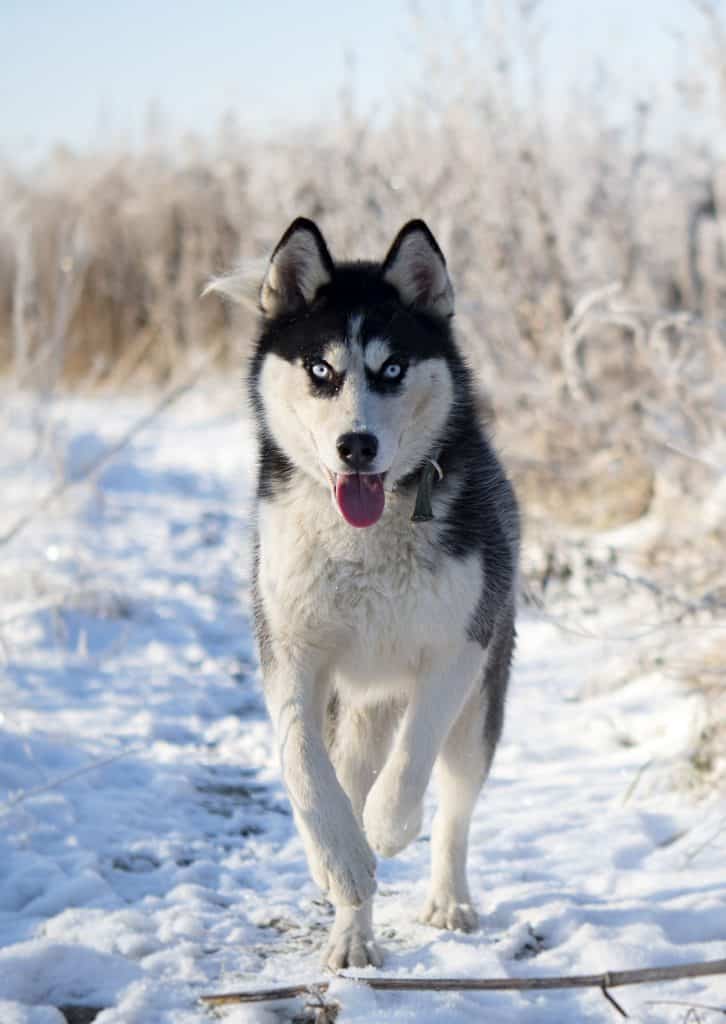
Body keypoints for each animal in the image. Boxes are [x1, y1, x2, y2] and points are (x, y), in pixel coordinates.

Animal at [207, 216, 516, 966]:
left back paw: (448, 899)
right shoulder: (290, 652)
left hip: (482, 704)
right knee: (346, 776)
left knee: (456, 801)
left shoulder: (460, 646)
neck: (367, 540)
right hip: (353, 713)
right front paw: (342, 860)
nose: (357, 446)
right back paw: (352, 932)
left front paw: (389, 823)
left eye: (392, 369)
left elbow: (416, 751)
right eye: (322, 370)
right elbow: (303, 767)